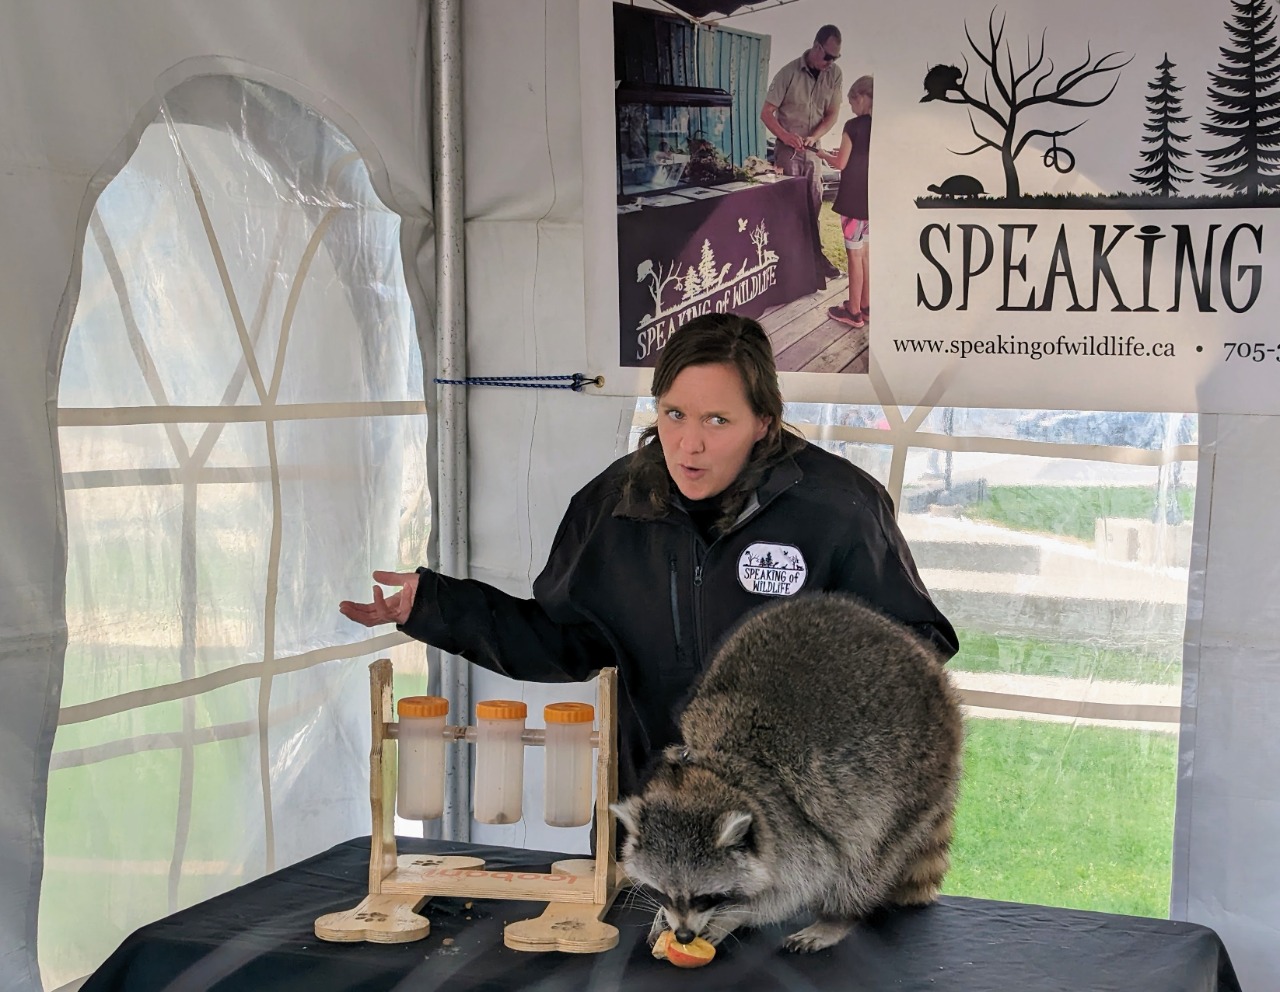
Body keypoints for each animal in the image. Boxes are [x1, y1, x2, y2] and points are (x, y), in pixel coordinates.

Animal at [609, 593, 962, 952]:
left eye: (705, 897)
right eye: (661, 893)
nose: (683, 935)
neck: (717, 772)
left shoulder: (790, 822)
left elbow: (800, 886)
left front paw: (735, 914)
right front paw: (664, 917)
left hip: (916, 770)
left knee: (868, 853)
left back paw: (838, 917)